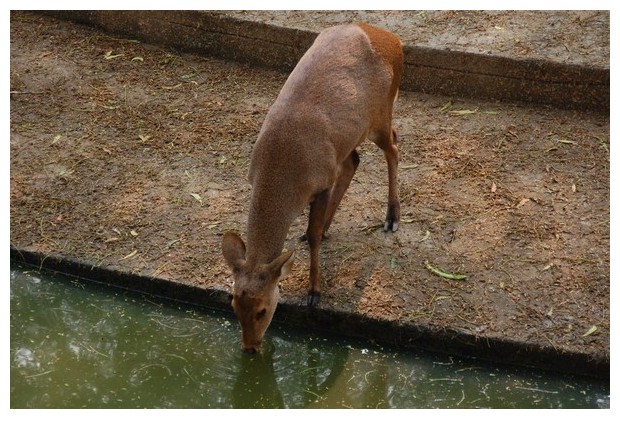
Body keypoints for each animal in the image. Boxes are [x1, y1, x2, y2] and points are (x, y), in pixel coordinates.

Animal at [220, 21, 404, 352]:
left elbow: (315, 234)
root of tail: (395, 41)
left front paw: (315, 293)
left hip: (381, 112)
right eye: (233, 305)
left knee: (393, 146)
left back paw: (392, 218)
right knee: (355, 160)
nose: (250, 347)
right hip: (350, 137)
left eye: (262, 310)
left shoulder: (321, 182)